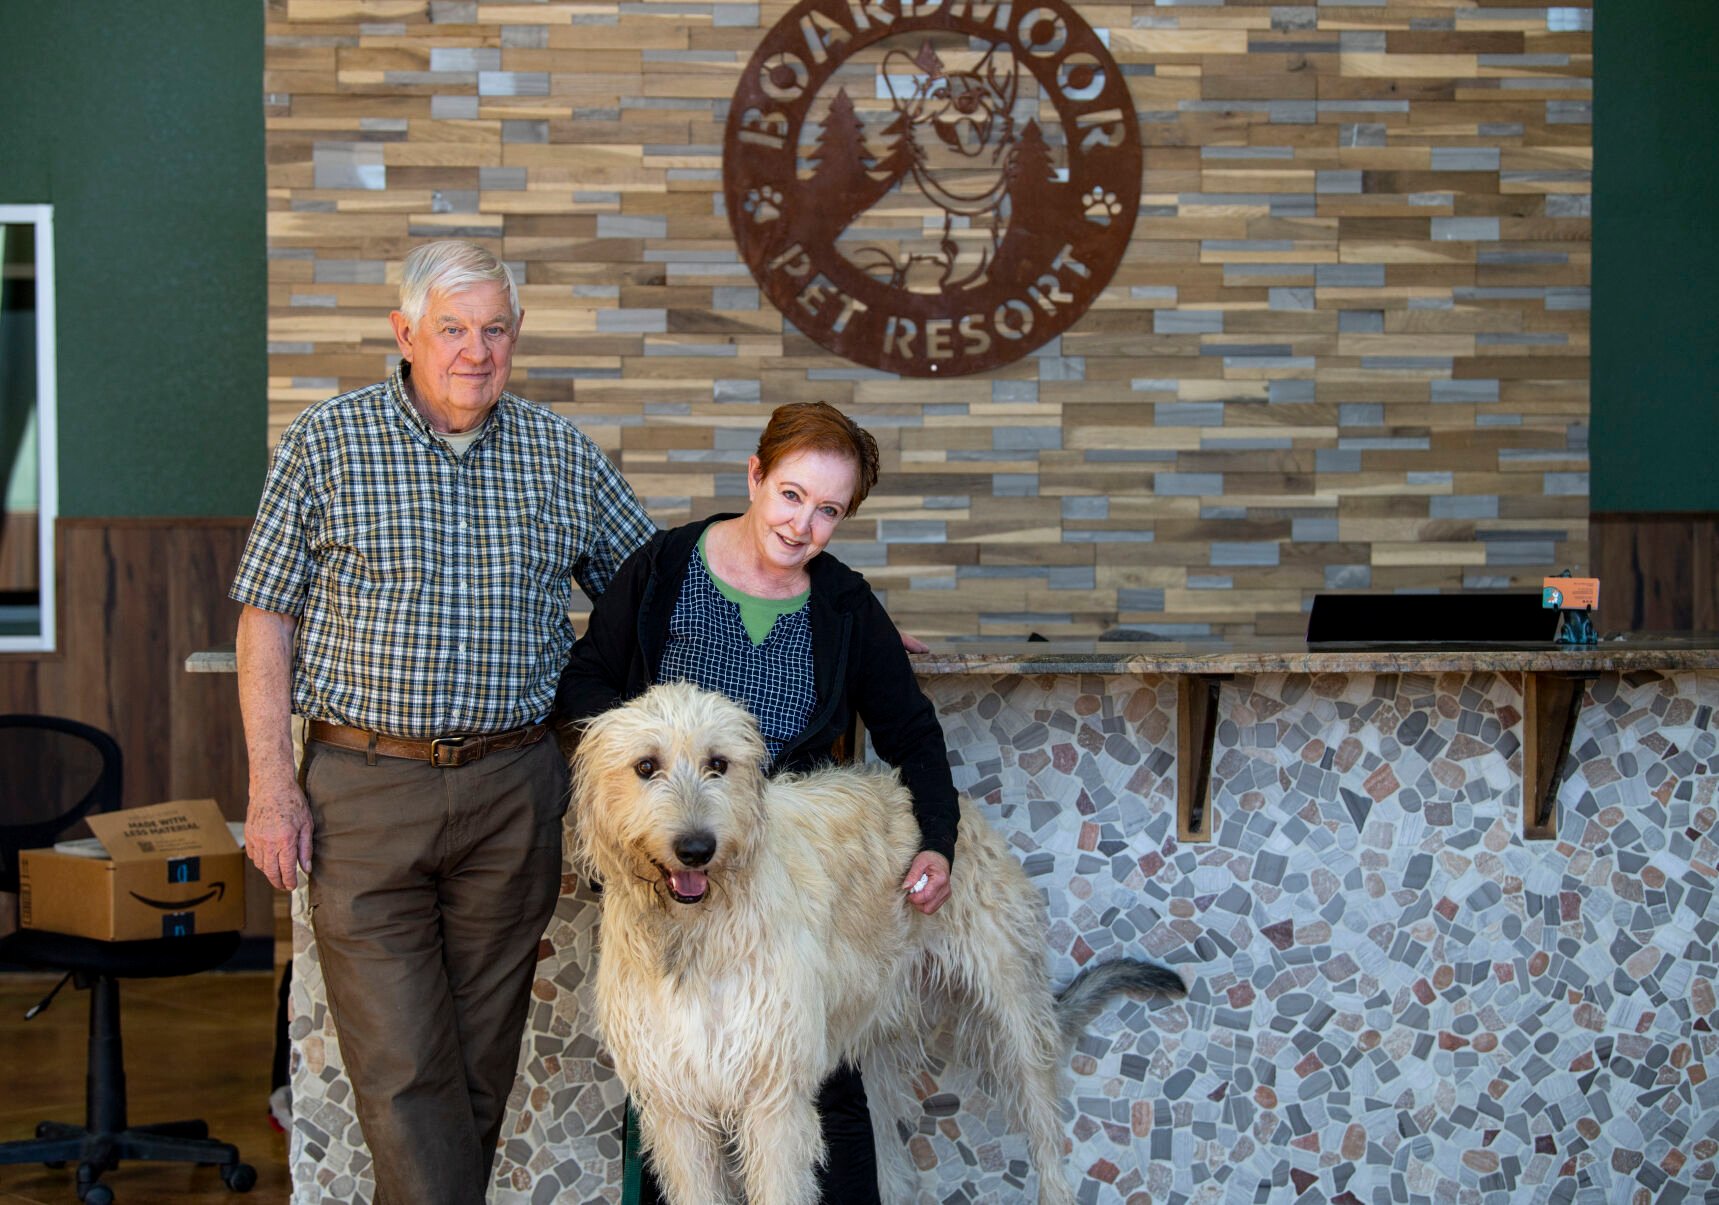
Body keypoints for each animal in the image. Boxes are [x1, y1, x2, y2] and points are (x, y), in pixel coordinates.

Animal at [574, 680, 1182, 1196]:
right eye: (645, 766)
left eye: (717, 764)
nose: (697, 849)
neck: (692, 931)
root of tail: (952, 802)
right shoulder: (675, 1106)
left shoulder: (773, 1097)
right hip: (874, 1045)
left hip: (1015, 1022)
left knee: (1046, 1141)